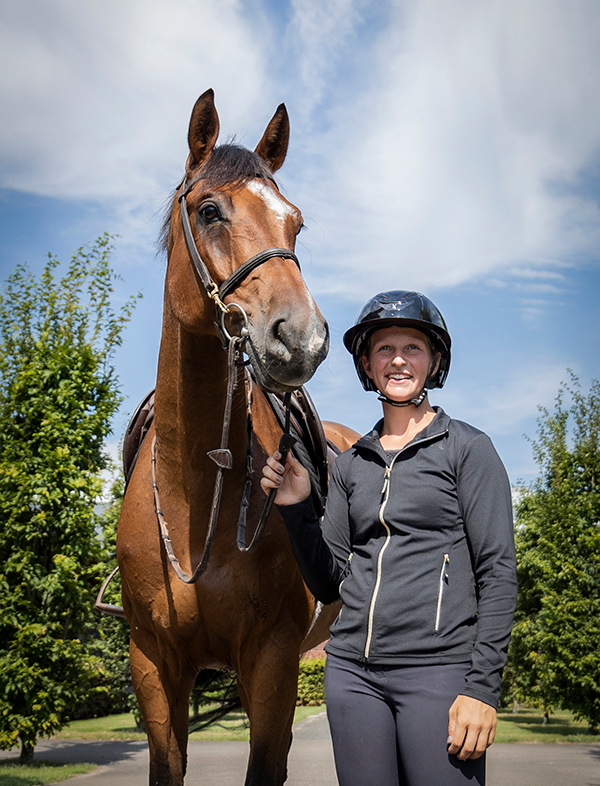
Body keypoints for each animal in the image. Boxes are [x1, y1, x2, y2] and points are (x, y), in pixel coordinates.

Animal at [117, 89, 358, 786]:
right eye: (209, 210)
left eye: (294, 222)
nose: (302, 338)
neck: (197, 494)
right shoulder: (154, 665)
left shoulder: (272, 662)